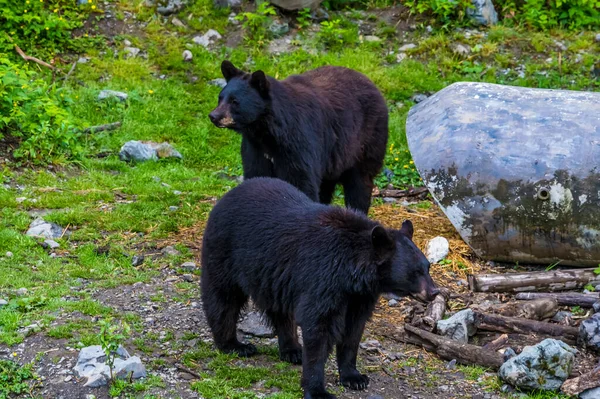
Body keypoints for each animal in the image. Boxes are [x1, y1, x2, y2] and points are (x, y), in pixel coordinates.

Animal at [199, 178, 438, 399]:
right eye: (415, 272)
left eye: (428, 267)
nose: (434, 292)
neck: (352, 271)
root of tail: (228, 194)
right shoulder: (322, 278)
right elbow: (318, 327)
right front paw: (317, 389)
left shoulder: (360, 296)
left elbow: (353, 330)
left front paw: (354, 377)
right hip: (225, 251)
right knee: (223, 299)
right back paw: (233, 345)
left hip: (273, 277)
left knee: (280, 311)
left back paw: (292, 349)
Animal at [209, 60, 390, 214]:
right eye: (220, 98)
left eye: (234, 101)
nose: (213, 116)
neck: (266, 131)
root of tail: (372, 84)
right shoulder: (254, 147)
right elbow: (257, 174)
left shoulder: (298, 142)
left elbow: (300, 181)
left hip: (365, 142)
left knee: (359, 184)